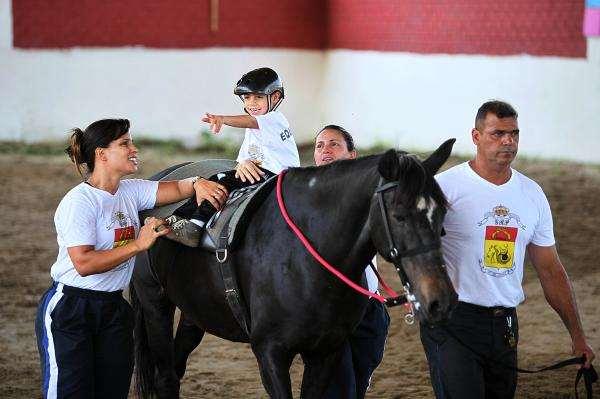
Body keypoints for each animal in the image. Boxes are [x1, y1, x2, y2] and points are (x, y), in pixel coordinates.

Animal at [132, 139, 460, 398]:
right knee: (166, 377)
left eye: (441, 214)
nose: (441, 301)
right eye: (399, 215)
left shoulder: (326, 352)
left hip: (196, 310)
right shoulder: (269, 352)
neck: (304, 261)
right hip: (154, 303)